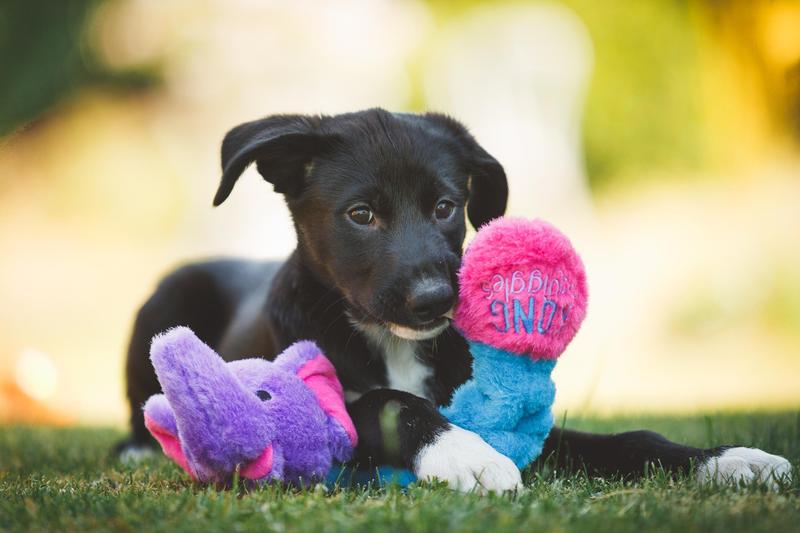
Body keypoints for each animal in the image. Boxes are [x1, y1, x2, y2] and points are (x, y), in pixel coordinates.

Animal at [120, 108, 792, 490]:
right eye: (361, 214)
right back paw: (140, 445)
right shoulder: (330, 406)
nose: (434, 300)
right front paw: (465, 453)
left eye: (446, 206)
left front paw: (729, 461)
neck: (392, 342)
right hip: (165, 299)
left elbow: (630, 440)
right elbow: (391, 404)